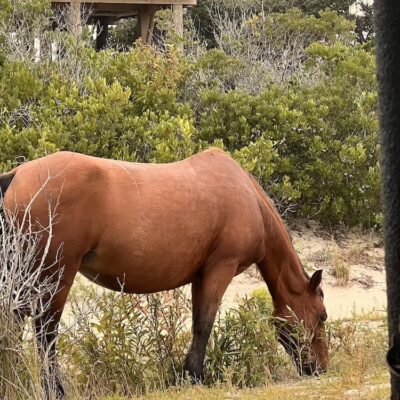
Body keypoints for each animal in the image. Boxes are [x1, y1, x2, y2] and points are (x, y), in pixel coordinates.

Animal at [0, 149, 328, 396]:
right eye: (322, 316)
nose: (321, 368)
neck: (250, 198)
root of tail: (16, 175)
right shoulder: (221, 267)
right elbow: (204, 325)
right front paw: (194, 377)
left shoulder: (201, 276)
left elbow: (198, 323)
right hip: (55, 274)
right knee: (46, 332)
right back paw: (54, 390)